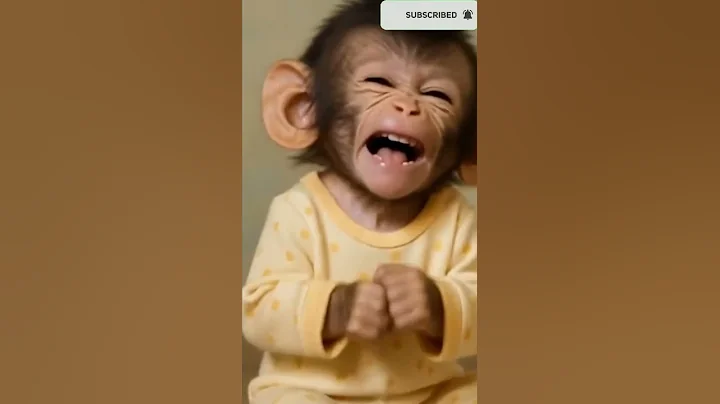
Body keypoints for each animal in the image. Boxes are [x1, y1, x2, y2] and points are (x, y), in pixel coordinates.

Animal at [242, 0, 477, 403]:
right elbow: (264, 299)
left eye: (436, 96)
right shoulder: (287, 214)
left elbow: (474, 292)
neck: (376, 208)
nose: (408, 107)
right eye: (378, 83)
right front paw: (355, 303)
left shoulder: (464, 214)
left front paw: (416, 294)